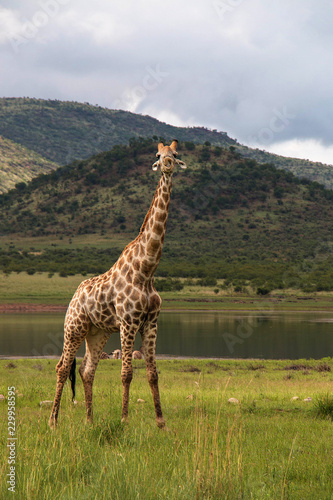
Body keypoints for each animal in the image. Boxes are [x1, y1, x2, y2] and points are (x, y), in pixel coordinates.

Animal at [48, 141, 187, 430]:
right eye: (158, 155)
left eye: (176, 154)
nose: (168, 165)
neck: (147, 270)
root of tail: (74, 295)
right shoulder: (128, 322)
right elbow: (126, 373)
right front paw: (124, 419)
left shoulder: (151, 322)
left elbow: (153, 373)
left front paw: (161, 422)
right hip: (73, 328)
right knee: (63, 367)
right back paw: (53, 421)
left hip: (97, 332)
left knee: (86, 370)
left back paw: (89, 420)